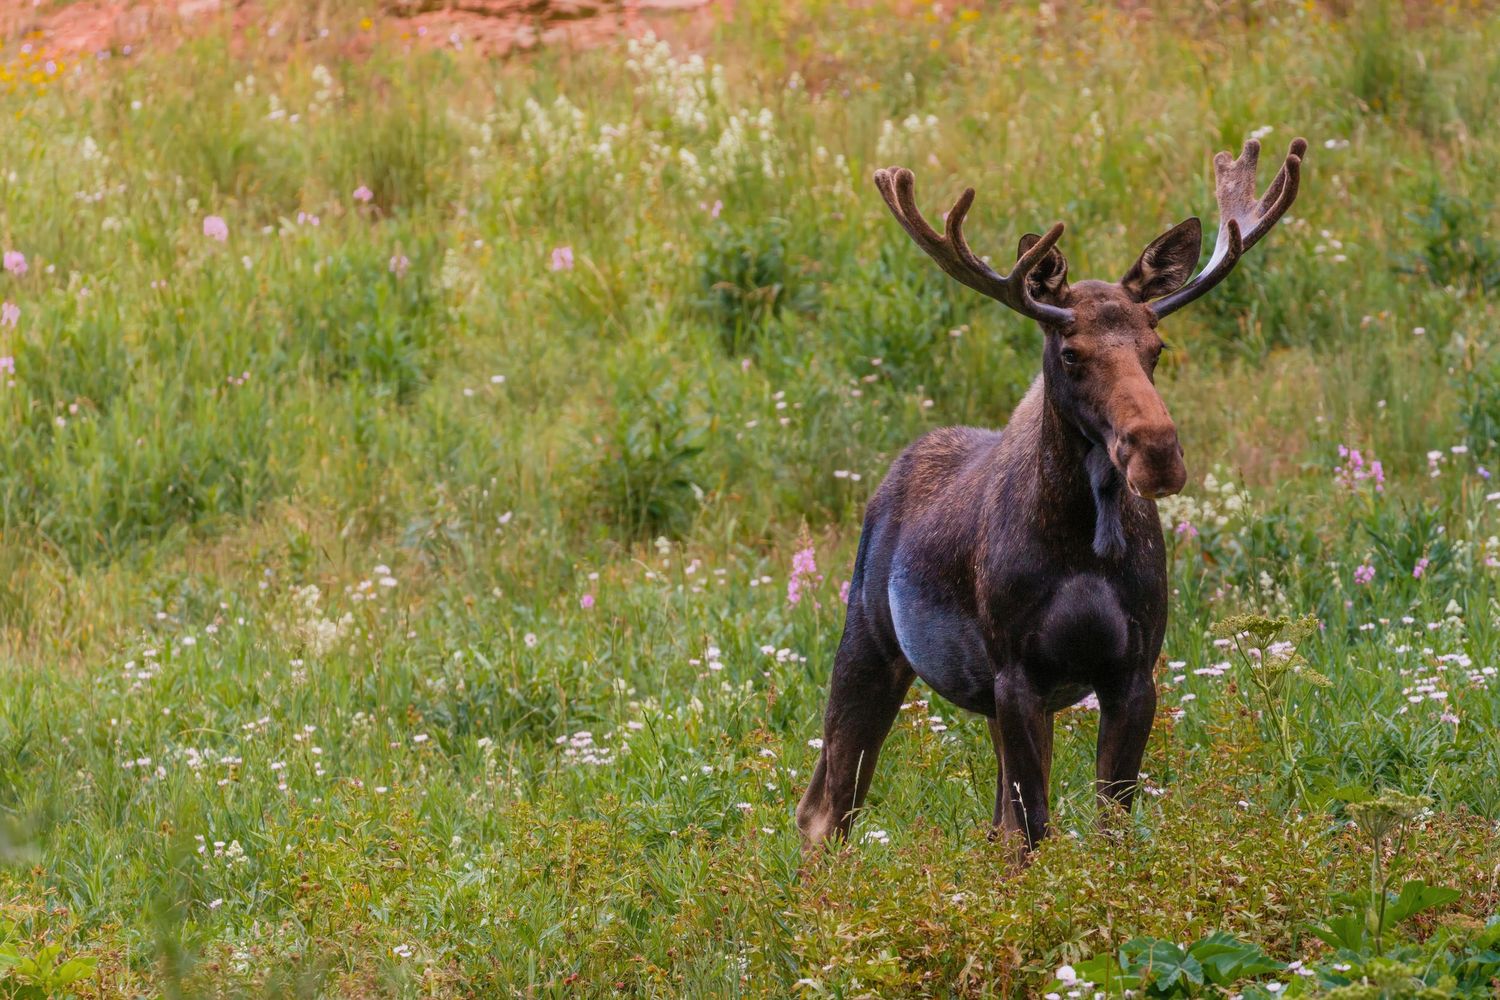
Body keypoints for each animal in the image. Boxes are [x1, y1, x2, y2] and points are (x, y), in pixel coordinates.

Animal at [797, 137, 1307, 855]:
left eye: (1157, 346)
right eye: (1071, 351)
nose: (1158, 451)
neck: (1082, 549)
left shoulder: (1133, 669)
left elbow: (1107, 822)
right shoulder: (1018, 670)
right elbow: (1038, 828)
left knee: (989, 825)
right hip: (869, 640)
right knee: (825, 810)